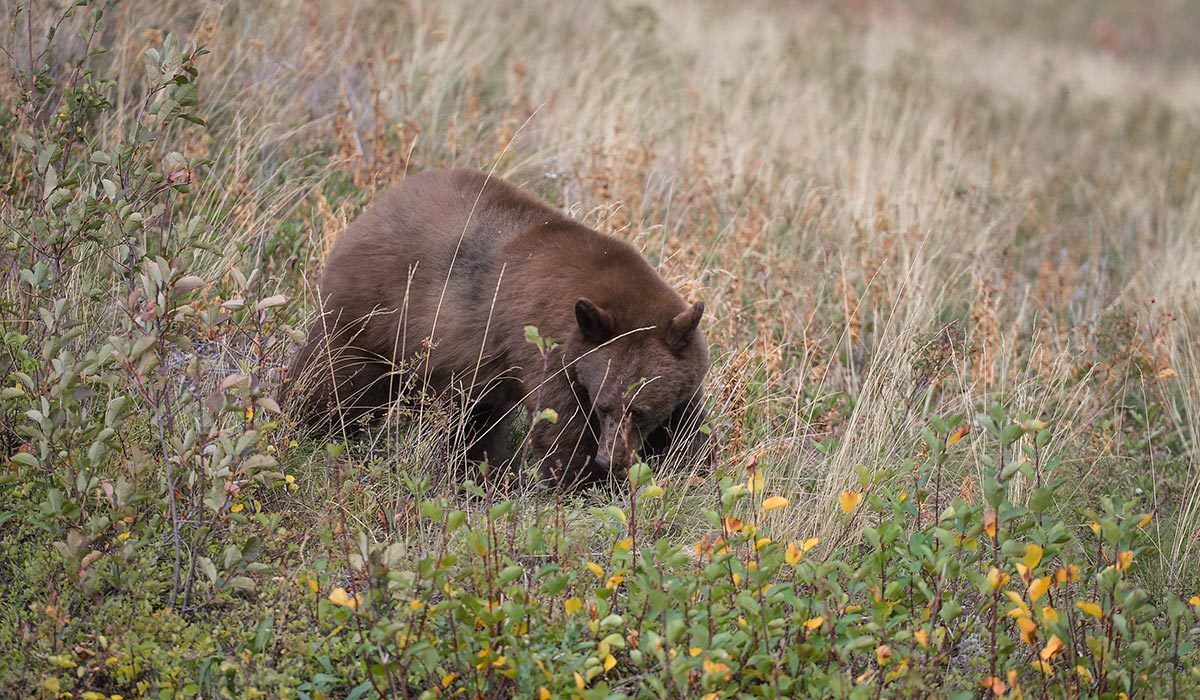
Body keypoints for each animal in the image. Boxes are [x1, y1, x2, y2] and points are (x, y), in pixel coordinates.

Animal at [286, 168, 710, 489]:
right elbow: (561, 427)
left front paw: (695, 470)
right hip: (371, 314)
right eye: (603, 405)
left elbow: (688, 426)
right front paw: (581, 483)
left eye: (640, 411)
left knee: (475, 420)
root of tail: (373, 209)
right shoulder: (548, 350)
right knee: (335, 379)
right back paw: (305, 425)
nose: (611, 458)